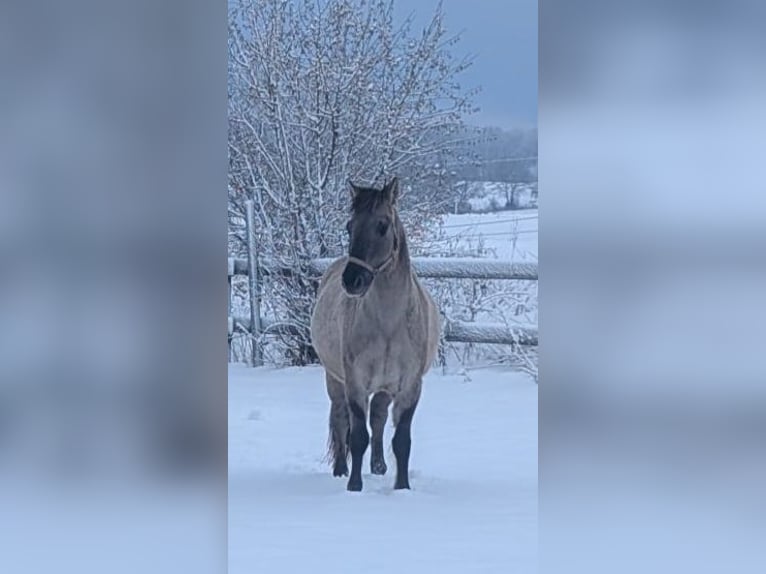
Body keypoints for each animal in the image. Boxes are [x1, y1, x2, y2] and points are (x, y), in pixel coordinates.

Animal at [309, 177, 441, 491]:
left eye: (382, 226)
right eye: (349, 226)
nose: (352, 280)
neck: (389, 325)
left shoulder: (410, 387)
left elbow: (401, 440)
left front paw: (402, 487)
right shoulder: (355, 384)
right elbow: (358, 436)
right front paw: (354, 487)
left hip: (383, 387)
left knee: (379, 419)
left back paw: (379, 467)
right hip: (334, 380)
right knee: (340, 418)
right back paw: (341, 469)